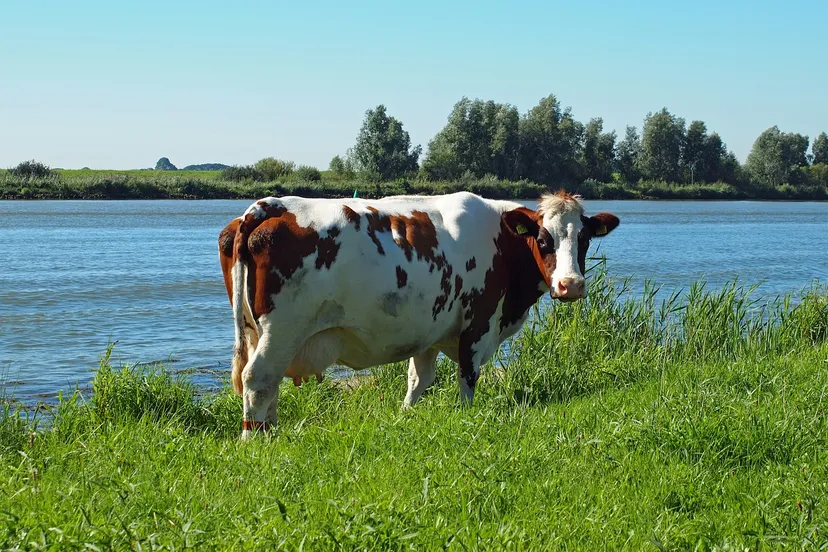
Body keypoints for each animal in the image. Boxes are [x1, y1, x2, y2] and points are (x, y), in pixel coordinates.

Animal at [218, 190, 619, 438]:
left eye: (584, 239)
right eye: (543, 239)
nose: (570, 285)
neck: (502, 242)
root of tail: (270, 204)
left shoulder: (429, 328)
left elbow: (418, 380)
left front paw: (406, 417)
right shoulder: (479, 324)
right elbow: (467, 378)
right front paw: (465, 417)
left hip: (258, 332)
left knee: (269, 385)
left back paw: (272, 432)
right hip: (283, 330)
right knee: (258, 379)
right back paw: (254, 442)